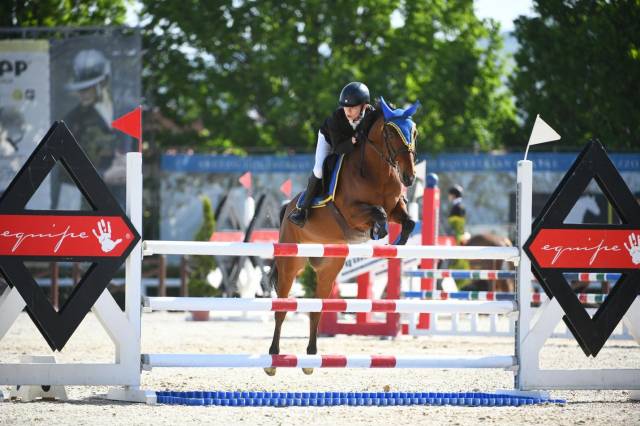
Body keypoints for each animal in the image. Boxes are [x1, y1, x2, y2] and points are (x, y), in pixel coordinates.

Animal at [265, 98, 420, 376]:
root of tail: (288, 207)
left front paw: (398, 242)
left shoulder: (396, 208)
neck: (378, 171)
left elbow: (408, 220)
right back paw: (273, 358)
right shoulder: (352, 212)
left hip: (329, 268)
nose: (409, 177)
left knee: (316, 308)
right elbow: (378, 213)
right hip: (290, 263)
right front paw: (378, 231)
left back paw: (311, 358)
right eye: (391, 132)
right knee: (281, 308)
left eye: (414, 132)